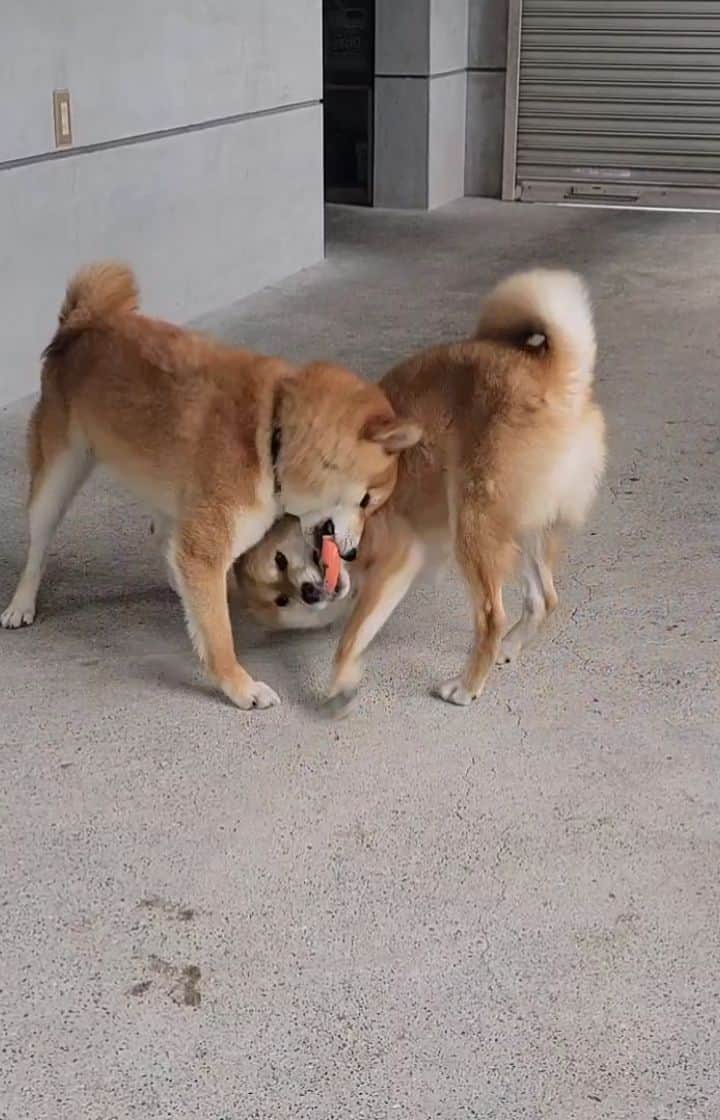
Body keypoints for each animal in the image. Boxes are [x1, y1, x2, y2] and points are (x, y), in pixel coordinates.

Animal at [1, 262, 416, 707]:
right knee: (39, 545)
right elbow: (219, 636)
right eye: (368, 500)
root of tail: (82, 323)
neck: (272, 435)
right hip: (57, 476)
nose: (352, 552)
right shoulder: (208, 546)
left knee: (162, 535)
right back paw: (21, 603)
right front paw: (239, 686)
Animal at [230, 266, 604, 712]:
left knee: (491, 615)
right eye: (282, 601)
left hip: (473, 524)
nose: (307, 592)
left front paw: (340, 679)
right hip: (519, 526)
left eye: (281, 560)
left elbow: (350, 636)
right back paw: (509, 647)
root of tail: (557, 379)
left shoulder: (397, 556)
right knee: (543, 598)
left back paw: (467, 684)